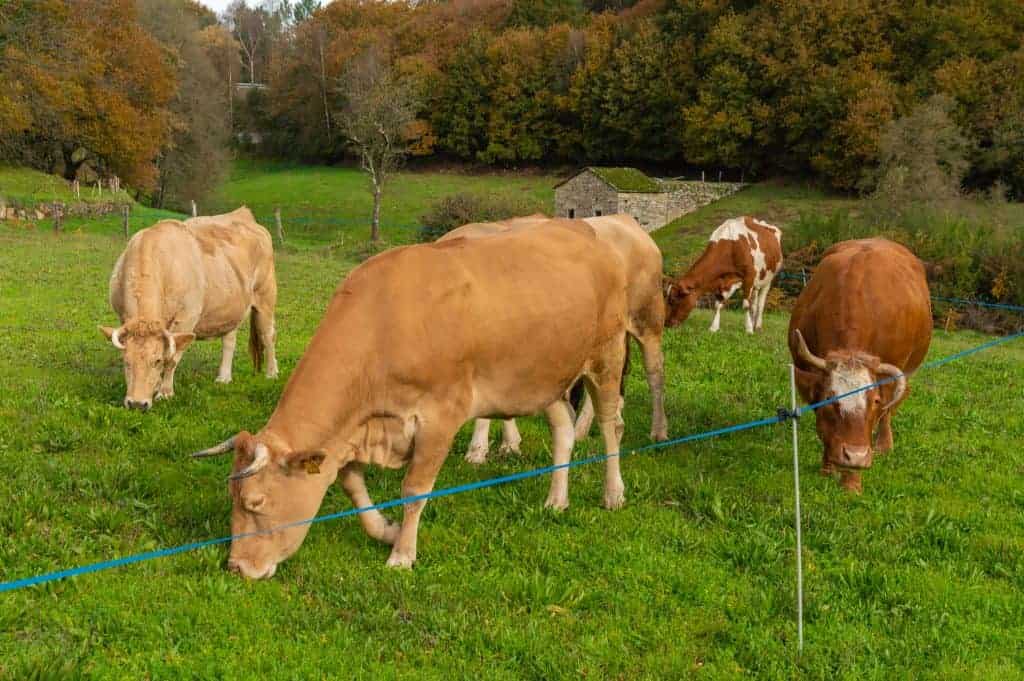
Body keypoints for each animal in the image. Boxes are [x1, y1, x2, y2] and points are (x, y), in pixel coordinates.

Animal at [100, 207, 278, 410]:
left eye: (157, 361)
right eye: (126, 362)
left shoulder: (186, 319)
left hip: (266, 298)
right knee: (229, 340)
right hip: (231, 307)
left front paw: (165, 392)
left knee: (268, 335)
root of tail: (244, 214)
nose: (137, 404)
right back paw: (223, 377)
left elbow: (172, 357)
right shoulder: (123, 317)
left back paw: (272, 373)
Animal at [192, 220, 631, 578]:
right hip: (543, 375)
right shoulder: (354, 430)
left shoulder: (440, 416)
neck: (383, 324)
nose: (236, 567)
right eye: (232, 499)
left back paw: (613, 493)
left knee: (612, 426)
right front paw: (385, 531)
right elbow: (352, 485)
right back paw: (556, 499)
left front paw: (402, 553)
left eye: (255, 502)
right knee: (563, 432)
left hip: (606, 357)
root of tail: (588, 233)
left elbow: (414, 489)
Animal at [440, 214, 668, 462]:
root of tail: (623, 219)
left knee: (655, 371)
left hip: (647, 318)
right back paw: (581, 430)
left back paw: (658, 432)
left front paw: (477, 451)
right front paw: (509, 444)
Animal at [788, 238, 932, 493]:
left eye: (874, 401)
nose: (856, 456)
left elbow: (878, 416)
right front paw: (828, 468)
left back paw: (884, 444)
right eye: (830, 399)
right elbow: (824, 429)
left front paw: (851, 483)